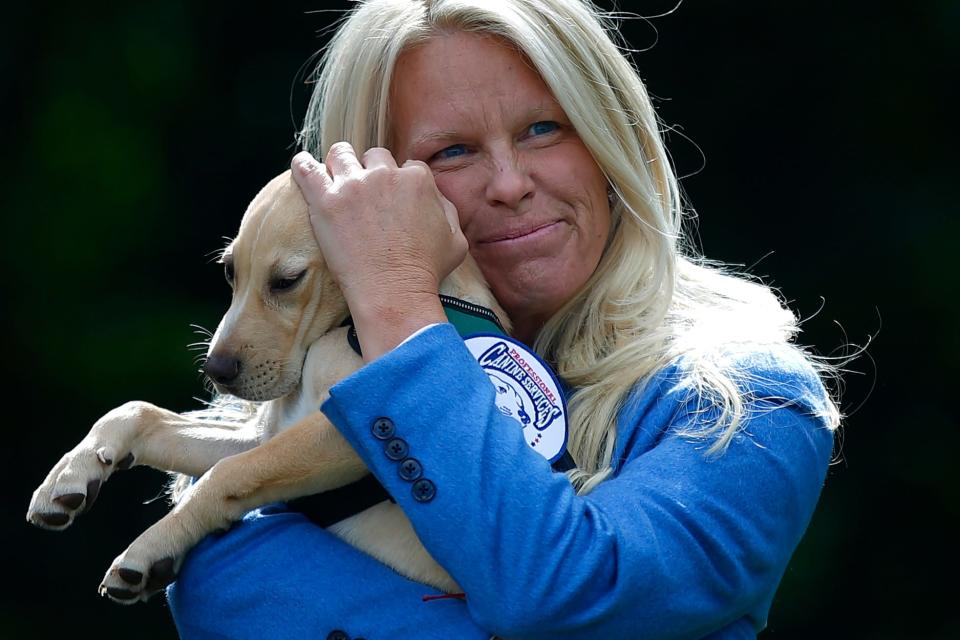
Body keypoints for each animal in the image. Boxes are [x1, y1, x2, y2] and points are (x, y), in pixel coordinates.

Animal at [26, 169, 506, 600]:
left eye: (287, 281)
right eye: (228, 272)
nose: (214, 371)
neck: (342, 329)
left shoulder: (341, 429)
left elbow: (226, 473)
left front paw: (151, 547)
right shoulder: (266, 434)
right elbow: (144, 415)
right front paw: (72, 472)